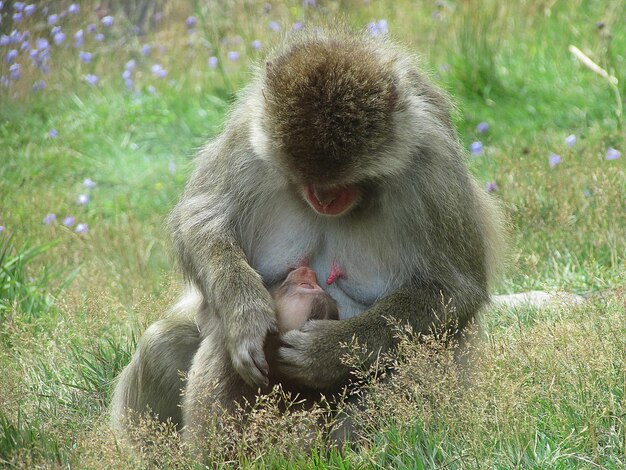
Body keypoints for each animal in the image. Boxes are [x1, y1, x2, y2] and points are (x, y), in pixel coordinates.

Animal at [111, 30, 502, 436]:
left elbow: (453, 289)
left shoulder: (431, 168)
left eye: (343, 180)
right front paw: (244, 313)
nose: (324, 198)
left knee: (423, 361)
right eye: (309, 178)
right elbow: (198, 217)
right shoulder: (249, 134)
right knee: (162, 341)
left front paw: (327, 351)